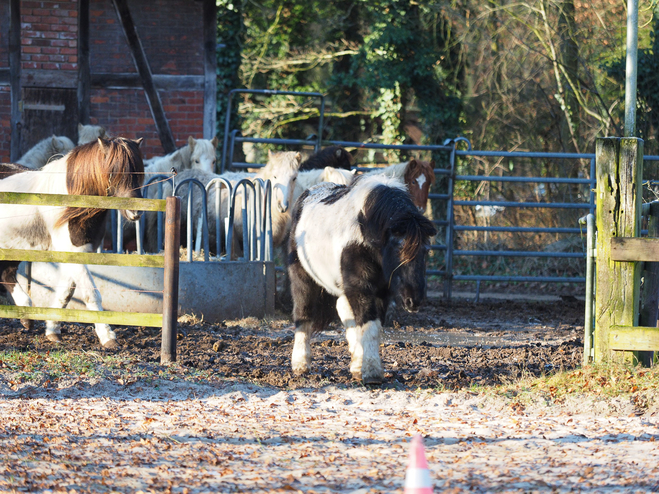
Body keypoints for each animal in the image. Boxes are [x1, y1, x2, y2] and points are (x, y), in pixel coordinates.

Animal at [0, 137, 146, 350]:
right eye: (113, 172)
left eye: (140, 171)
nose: (135, 212)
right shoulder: (71, 251)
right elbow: (91, 294)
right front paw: (108, 336)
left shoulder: (78, 251)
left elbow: (66, 293)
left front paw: (53, 330)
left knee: (6, 274)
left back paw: (27, 317)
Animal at [288, 176, 438, 384]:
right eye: (398, 250)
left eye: (426, 251)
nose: (413, 300)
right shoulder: (361, 287)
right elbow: (369, 325)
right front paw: (372, 372)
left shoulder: (381, 292)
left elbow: (371, 327)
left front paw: (363, 366)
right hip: (303, 278)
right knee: (303, 313)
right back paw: (301, 363)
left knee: (345, 311)